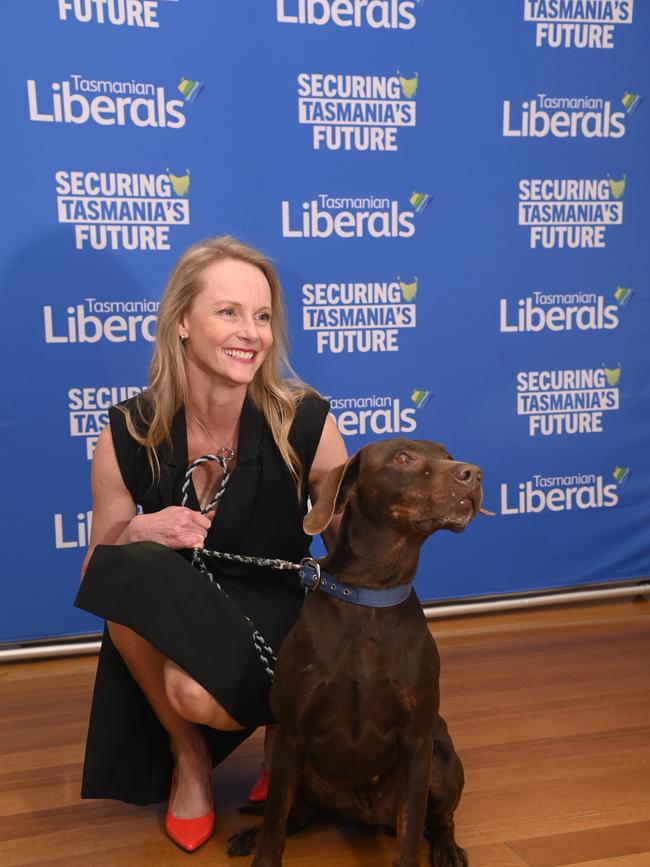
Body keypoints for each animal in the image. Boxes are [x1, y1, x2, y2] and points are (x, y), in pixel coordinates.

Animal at [230, 440, 484, 867]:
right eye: (402, 458)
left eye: (448, 456)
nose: (474, 474)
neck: (370, 595)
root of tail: (367, 815)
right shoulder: (290, 733)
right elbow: (274, 824)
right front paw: (262, 848)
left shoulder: (417, 740)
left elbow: (410, 836)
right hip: (278, 747)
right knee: (293, 815)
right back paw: (250, 833)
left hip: (444, 758)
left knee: (439, 820)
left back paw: (447, 849)